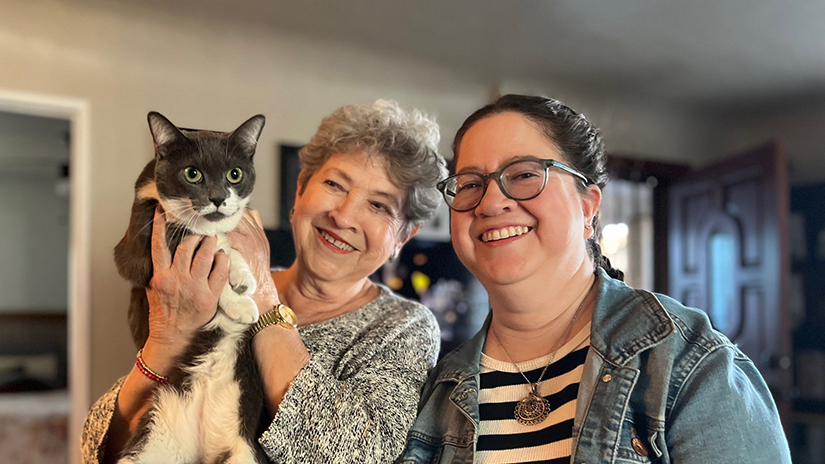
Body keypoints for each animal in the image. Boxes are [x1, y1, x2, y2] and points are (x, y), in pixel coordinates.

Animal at [112, 112, 268, 464]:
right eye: (192, 173)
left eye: (234, 174)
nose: (218, 197)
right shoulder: (137, 249)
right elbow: (199, 239)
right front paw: (241, 303)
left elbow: (220, 240)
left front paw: (243, 275)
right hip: (147, 444)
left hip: (243, 450)